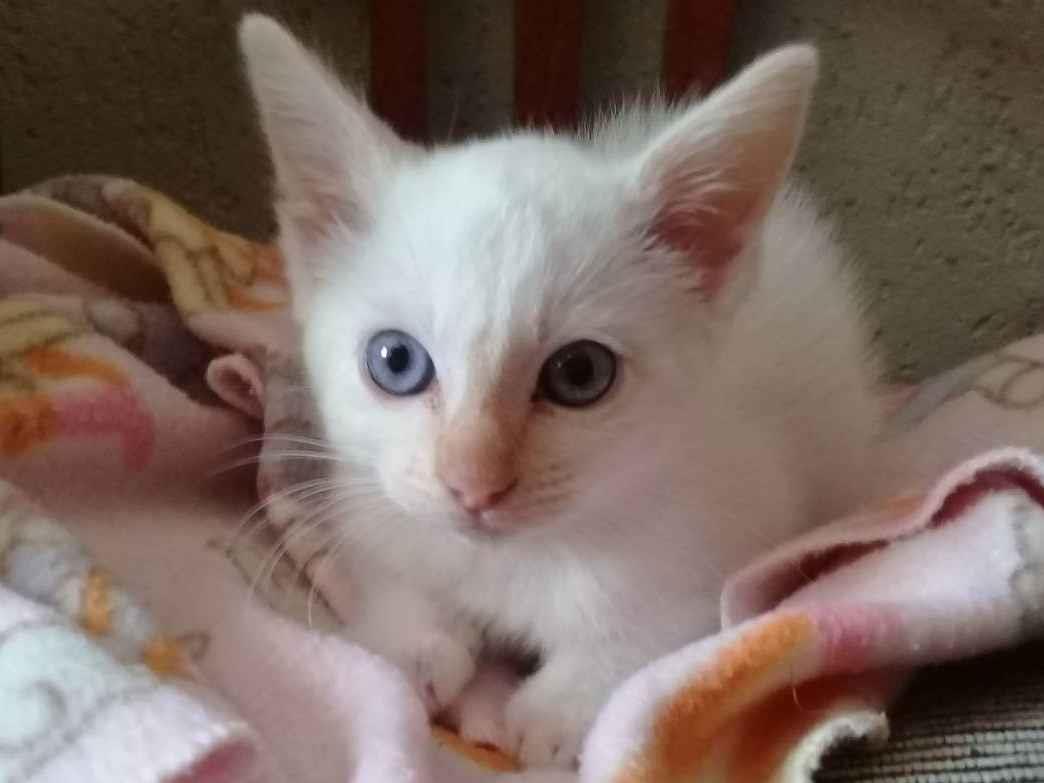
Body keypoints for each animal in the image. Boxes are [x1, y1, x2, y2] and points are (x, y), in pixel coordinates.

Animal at [239, 14, 887, 768]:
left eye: (580, 373)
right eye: (395, 361)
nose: (473, 484)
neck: (514, 562)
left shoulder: (733, 532)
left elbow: (649, 631)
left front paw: (554, 712)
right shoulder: (370, 501)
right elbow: (394, 571)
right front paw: (412, 645)